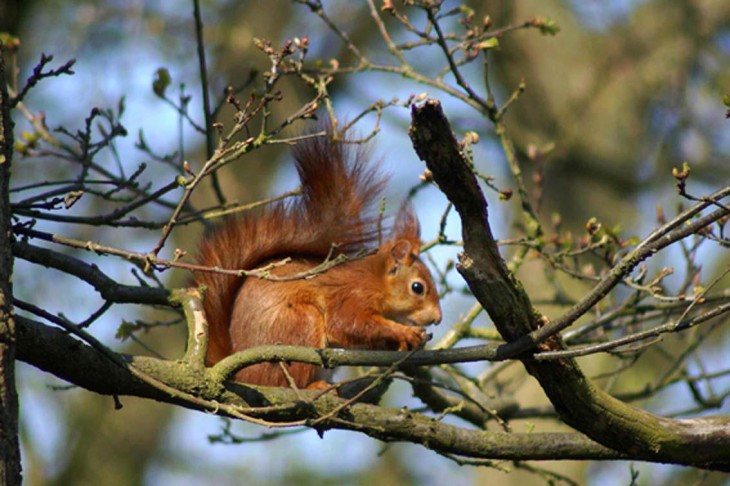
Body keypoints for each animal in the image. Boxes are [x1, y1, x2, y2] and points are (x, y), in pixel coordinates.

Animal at [193, 131, 440, 390]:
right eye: (417, 288)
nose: (437, 319)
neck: (375, 280)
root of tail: (241, 375)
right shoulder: (351, 296)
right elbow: (349, 324)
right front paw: (403, 332)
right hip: (300, 326)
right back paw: (313, 387)